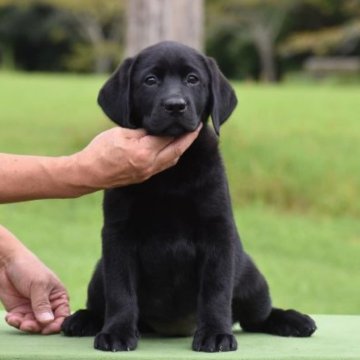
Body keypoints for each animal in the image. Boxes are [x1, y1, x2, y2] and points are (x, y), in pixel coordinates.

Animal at [61, 41, 316, 352]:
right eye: (150, 80)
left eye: (192, 79)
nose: (175, 105)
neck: (170, 175)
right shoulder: (117, 235)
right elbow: (121, 291)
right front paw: (117, 332)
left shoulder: (217, 231)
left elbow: (216, 291)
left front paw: (216, 333)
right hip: (99, 273)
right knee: (102, 302)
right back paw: (83, 319)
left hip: (252, 281)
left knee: (258, 316)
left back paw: (294, 319)